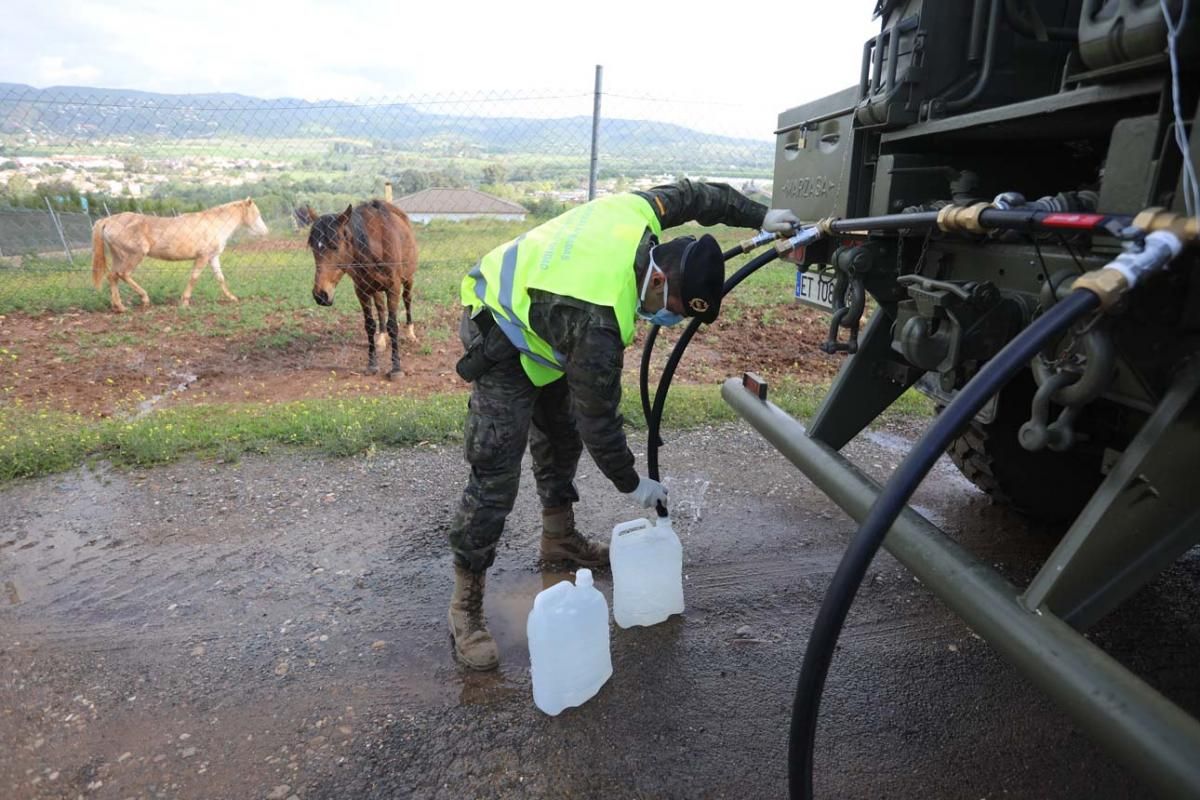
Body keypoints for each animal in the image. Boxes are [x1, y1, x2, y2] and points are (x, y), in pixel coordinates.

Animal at [91, 196, 270, 311]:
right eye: (257, 214)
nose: (266, 232)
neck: (215, 223)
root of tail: (107, 221)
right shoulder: (203, 257)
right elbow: (194, 278)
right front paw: (184, 302)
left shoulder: (213, 257)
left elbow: (220, 278)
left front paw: (232, 298)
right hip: (134, 255)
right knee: (123, 274)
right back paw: (144, 299)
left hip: (118, 256)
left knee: (112, 276)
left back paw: (119, 306)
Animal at [307, 199, 420, 376]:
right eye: (312, 247)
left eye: (335, 246)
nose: (321, 295)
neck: (375, 246)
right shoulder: (361, 290)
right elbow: (369, 325)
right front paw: (372, 364)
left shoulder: (393, 288)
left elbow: (393, 326)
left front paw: (396, 367)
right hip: (375, 289)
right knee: (380, 308)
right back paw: (381, 339)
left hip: (408, 279)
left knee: (407, 300)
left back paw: (410, 333)